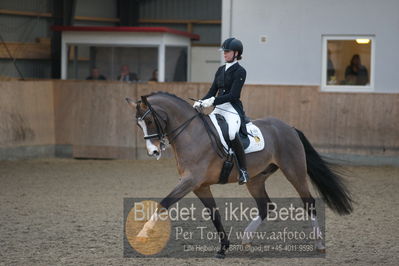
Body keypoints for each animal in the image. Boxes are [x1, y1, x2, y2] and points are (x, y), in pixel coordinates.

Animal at [126, 91, 354, 258]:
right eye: (138, 124)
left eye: (150, 121)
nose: (153, 152)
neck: (191, 134)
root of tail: (289, 127)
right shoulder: (200, 185)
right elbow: (214, 214)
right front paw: (223, 247)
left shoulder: (190, 181)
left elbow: (163, 203)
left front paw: (143, 234)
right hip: (256, 179)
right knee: (266, 206)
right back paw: (246, 239)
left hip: (294, 171)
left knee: (309, 203)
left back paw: (319, 243)